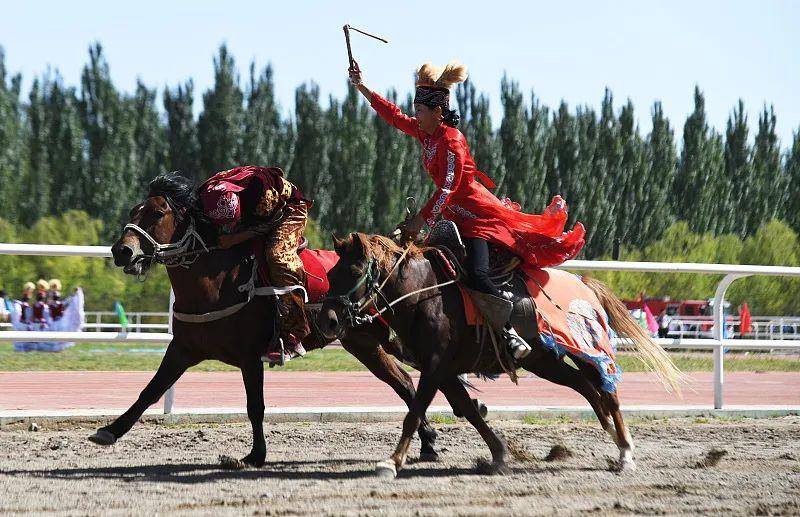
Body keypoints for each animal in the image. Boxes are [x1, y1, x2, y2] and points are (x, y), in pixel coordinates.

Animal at [91, 174, 440, 468]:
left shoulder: (249, 355)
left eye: (157, 213)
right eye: (135, 210)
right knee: (404, 382)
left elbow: (255, 405)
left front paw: (255, 455)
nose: (122, 251)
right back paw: (427, 442)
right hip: (364, 343)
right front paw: (109, 430)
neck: (215, 282)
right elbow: (151, 390)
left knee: (407, 380)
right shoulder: (183, 348)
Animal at [318, 232, 680, 478]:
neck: (425, 294)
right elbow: (467, 409)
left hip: (585, 350)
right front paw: (498, 453)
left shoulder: (434, 367)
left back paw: (625, 453)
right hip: (545, 361)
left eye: (354, 272)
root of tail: (584, 283)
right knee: (587, 388)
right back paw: (610, 433)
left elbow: (415, 411)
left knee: (608, 392)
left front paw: (392, 462)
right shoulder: (443, 370)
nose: (328, 320)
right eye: (331, 274)